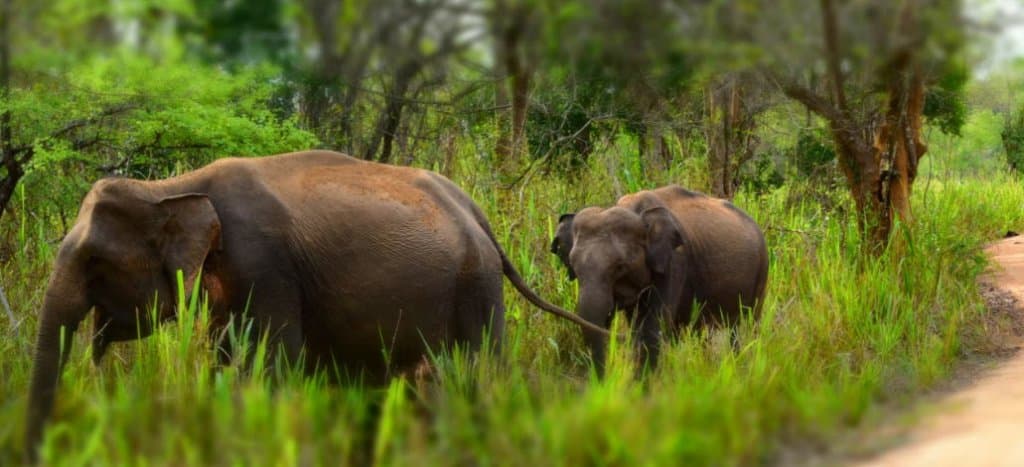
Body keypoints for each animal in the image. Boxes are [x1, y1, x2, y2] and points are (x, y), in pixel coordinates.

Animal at [24, 150, 606, 461]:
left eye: (95, 262)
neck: (173, 186)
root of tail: (477, 212)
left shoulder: (265, 266)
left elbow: (269, 365)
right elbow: (225, 359)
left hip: (475, 287)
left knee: (476, 376)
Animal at [550, 185, 768, 375]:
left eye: (620, 266)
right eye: (574, 267)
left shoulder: (675, 262)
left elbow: (652, 328)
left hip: (762, 271)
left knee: (747, 325)